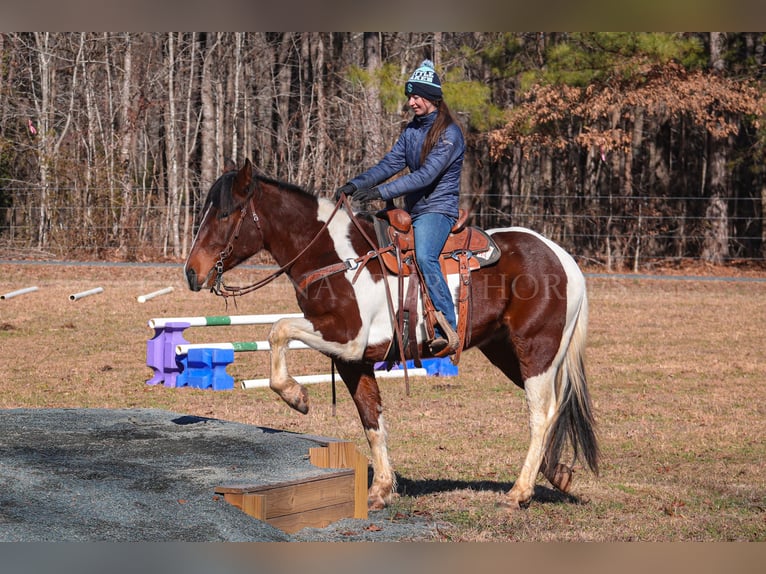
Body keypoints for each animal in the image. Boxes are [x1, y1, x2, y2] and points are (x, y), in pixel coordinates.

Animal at [184, 159, 600, 512]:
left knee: (541, 414)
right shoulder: (352, 360)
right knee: (552, 409)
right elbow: (372, 420)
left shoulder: (346, 338)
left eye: (225, 213)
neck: (336, 259)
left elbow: (278, 329)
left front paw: (295, 396)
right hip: (505, 352)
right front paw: (380, 490)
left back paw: (519, 492)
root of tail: (563, 259)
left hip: (535, 350)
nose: (191, 272)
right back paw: (558, 474)